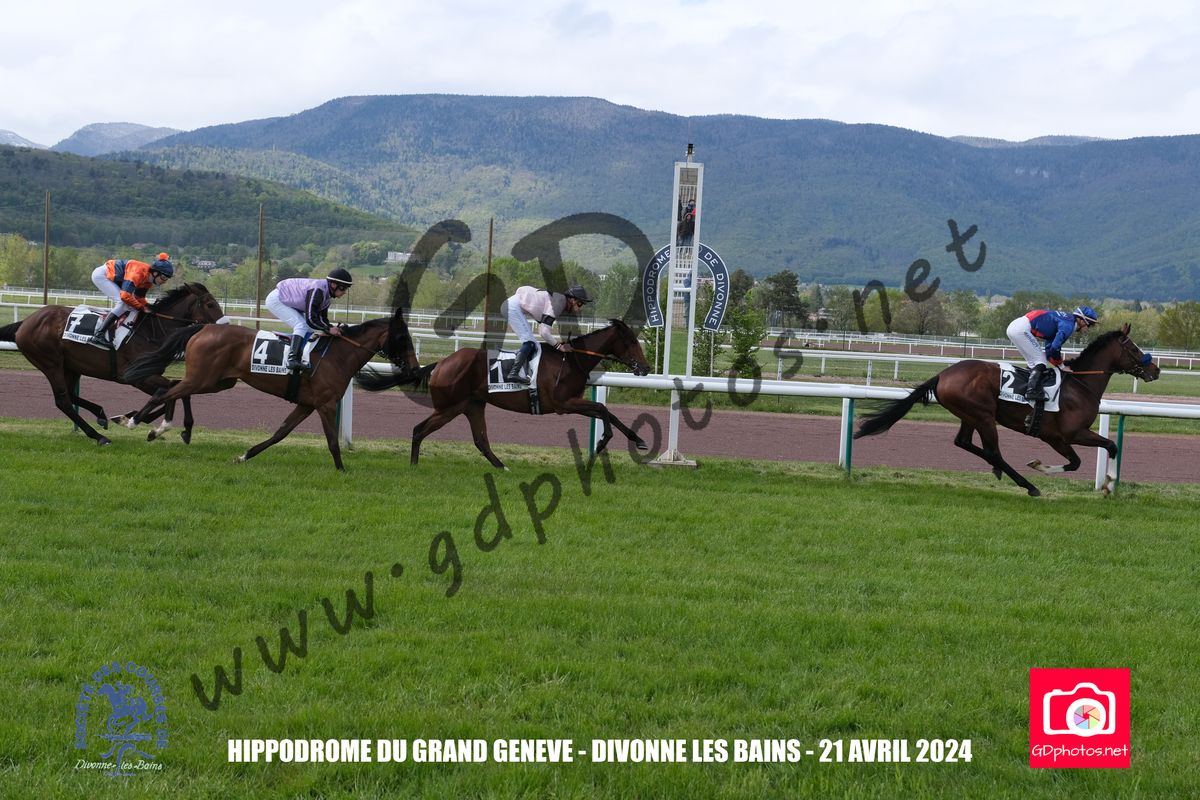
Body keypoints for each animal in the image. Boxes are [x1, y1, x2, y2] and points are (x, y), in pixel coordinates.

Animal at [0, 283, 228, 446]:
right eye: (210, 304)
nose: (225, 326)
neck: (152, 331)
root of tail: (25, 323)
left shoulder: (147, 375)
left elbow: (175, 390)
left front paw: (177, 429)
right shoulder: (135, 377)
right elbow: (170, 388)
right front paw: (146, 424)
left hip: (70, 366)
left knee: (70, 395)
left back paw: (101, 415)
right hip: (50, 363)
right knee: (63, 400)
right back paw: (98, 436)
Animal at [122, 310, 424, 469]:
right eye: (402, 337)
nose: (415, 369)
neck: (338, 356)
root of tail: (203, 327)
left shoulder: (306, 404)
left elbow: (281, 433)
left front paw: (245, 455)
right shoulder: (325, 404)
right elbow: (331, 440)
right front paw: (341, 469)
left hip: (216, 381)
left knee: (174, 387)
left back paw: (162, 427)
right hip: (204, 378)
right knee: (166, 391)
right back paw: (137, 421)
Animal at [357, 319, 651, 468]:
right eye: (632, 341)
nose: (646, 368)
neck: (572, 360)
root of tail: (440, 363)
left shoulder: (570, 402)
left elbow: (609, 413)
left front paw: (633, 440)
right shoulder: (563, 403)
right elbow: (603, 410)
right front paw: (605, 443)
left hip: (473, 405)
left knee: (481, 441)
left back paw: (502, 467)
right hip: (450, 407)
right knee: (419, 430)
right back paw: (414, 467)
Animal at [853, 324, 1160, 496]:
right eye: (1134, 349)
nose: (1155, 370)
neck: (1081, 384)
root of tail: (942, 374)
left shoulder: (1056, 437)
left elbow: (1085, 458)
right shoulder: (1067, 435)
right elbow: (1103, 450)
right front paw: (1108, 484)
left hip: (970, 415)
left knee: (964, 442)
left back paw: (1001, 472)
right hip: (984, 416)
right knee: (992, 451)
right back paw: (1028, 485)